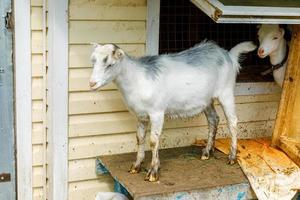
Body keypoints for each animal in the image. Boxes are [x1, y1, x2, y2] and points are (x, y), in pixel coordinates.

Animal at [89, 41, 255, 182]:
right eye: (93, 61)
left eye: (110, 64)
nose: (92, 84)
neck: (137, 79)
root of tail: (228, 55)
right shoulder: (141, 116)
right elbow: (140, 138)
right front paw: (136, 166)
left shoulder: (157, 112)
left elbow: (153, 140)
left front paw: (153, 173)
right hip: (206, 100)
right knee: (214, 119)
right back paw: (207, 152)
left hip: (226, 92)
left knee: (232, 121)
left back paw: (232, 157)